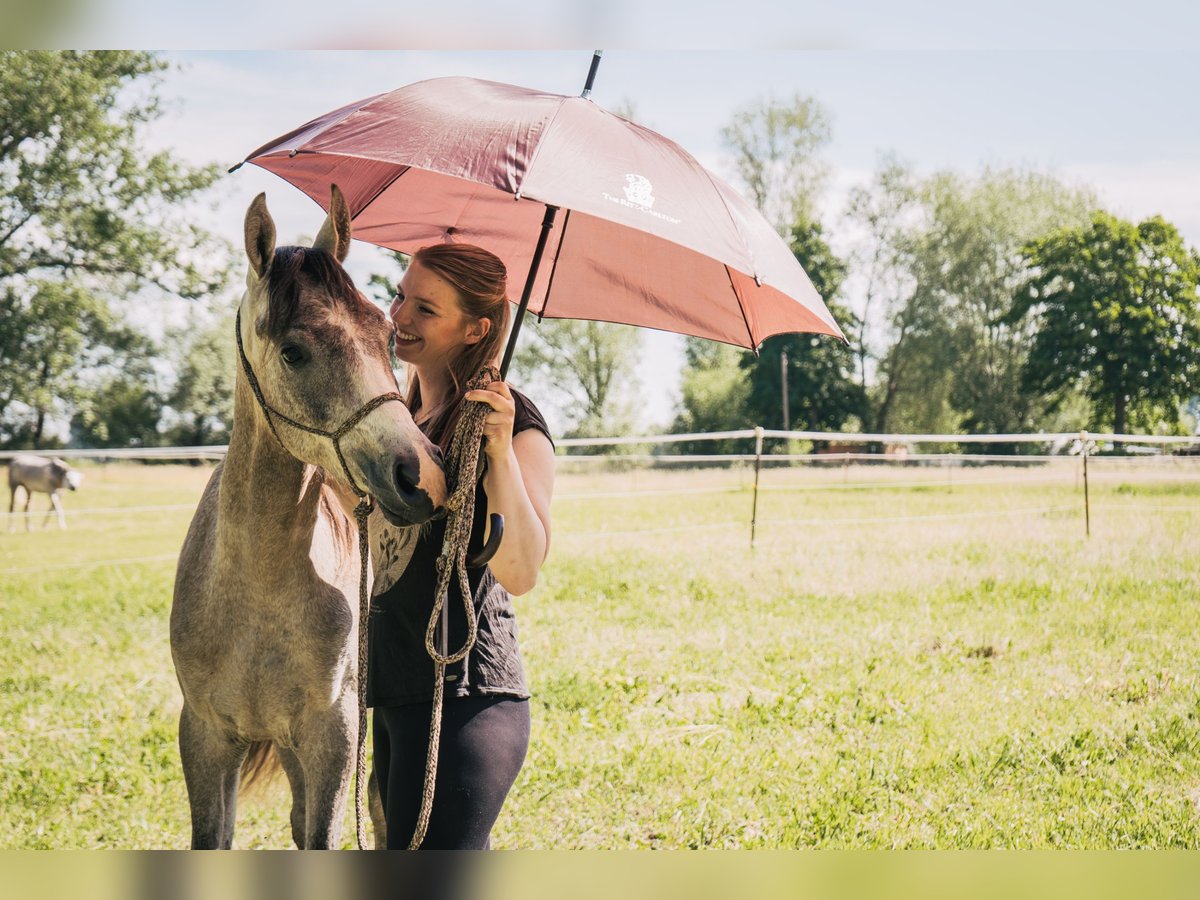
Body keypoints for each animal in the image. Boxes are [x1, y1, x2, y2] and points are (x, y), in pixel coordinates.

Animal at [169, 187, 446, 849]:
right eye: (294, 351)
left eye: (387, 335)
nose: (422, 476)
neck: (254, 594)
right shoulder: (206, 738)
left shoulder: (333, 736)